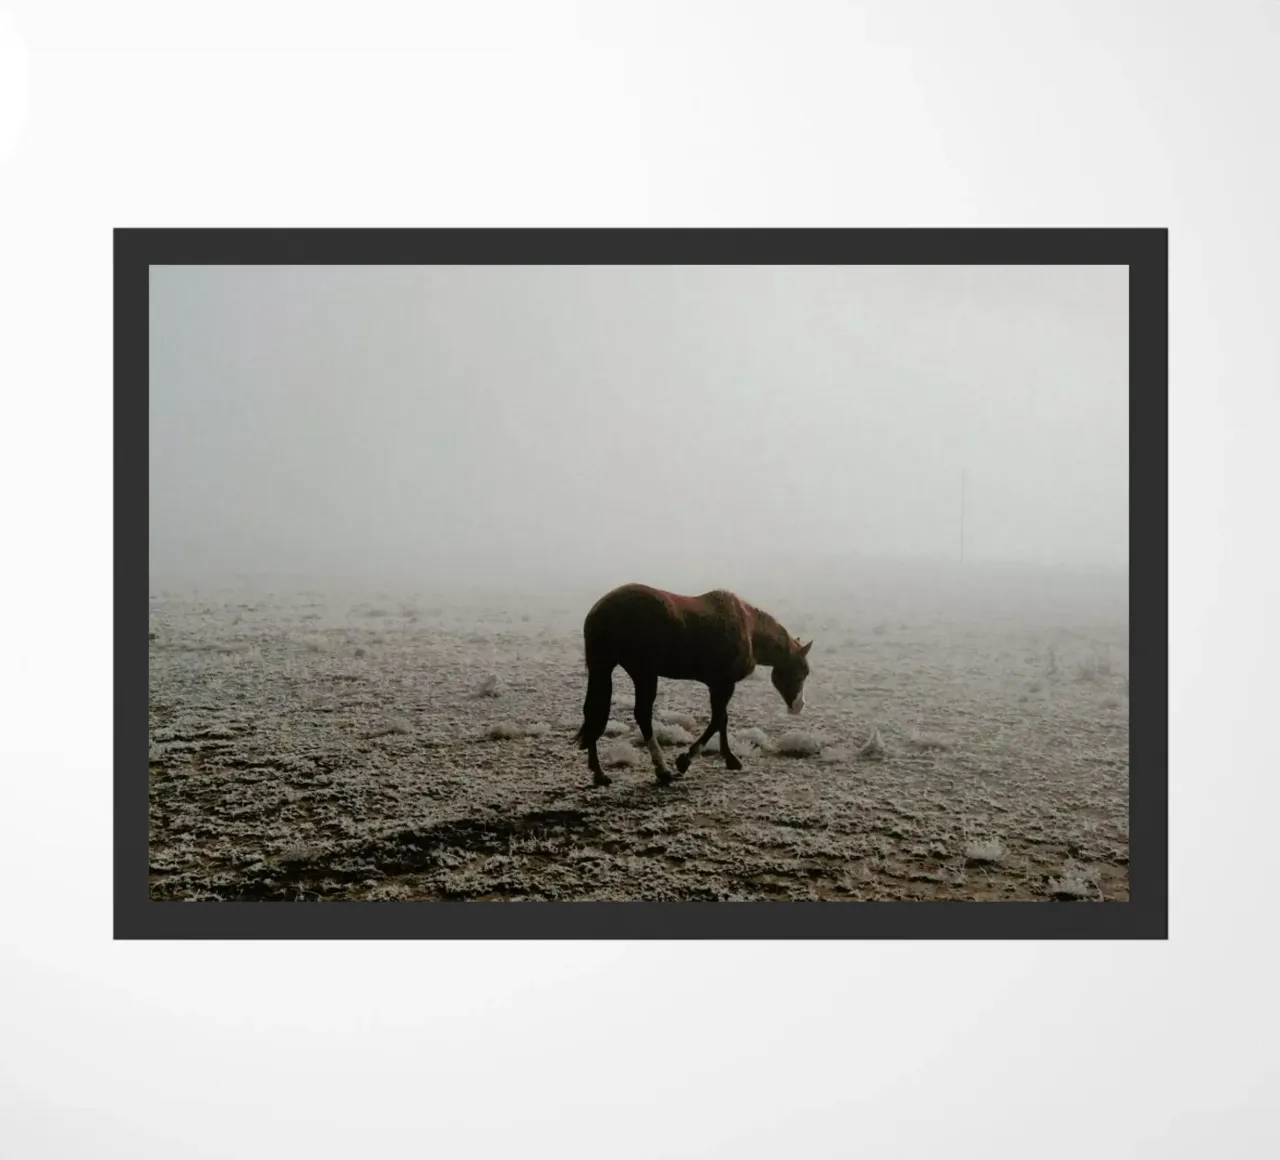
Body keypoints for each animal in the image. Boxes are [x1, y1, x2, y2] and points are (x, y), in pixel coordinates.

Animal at [573, 583, 813, 787]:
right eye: (802, 671)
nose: (799, 706)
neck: (748, 628)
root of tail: (603, 610)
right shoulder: (724, 684)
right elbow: (717, 720)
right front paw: (685, 761)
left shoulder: (717, 685)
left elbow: (723, 720)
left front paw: (730, 759)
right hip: (643, 674)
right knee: (642, 715)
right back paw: (663, 770)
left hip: (602, 668)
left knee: (593, 712)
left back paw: (599, 773)